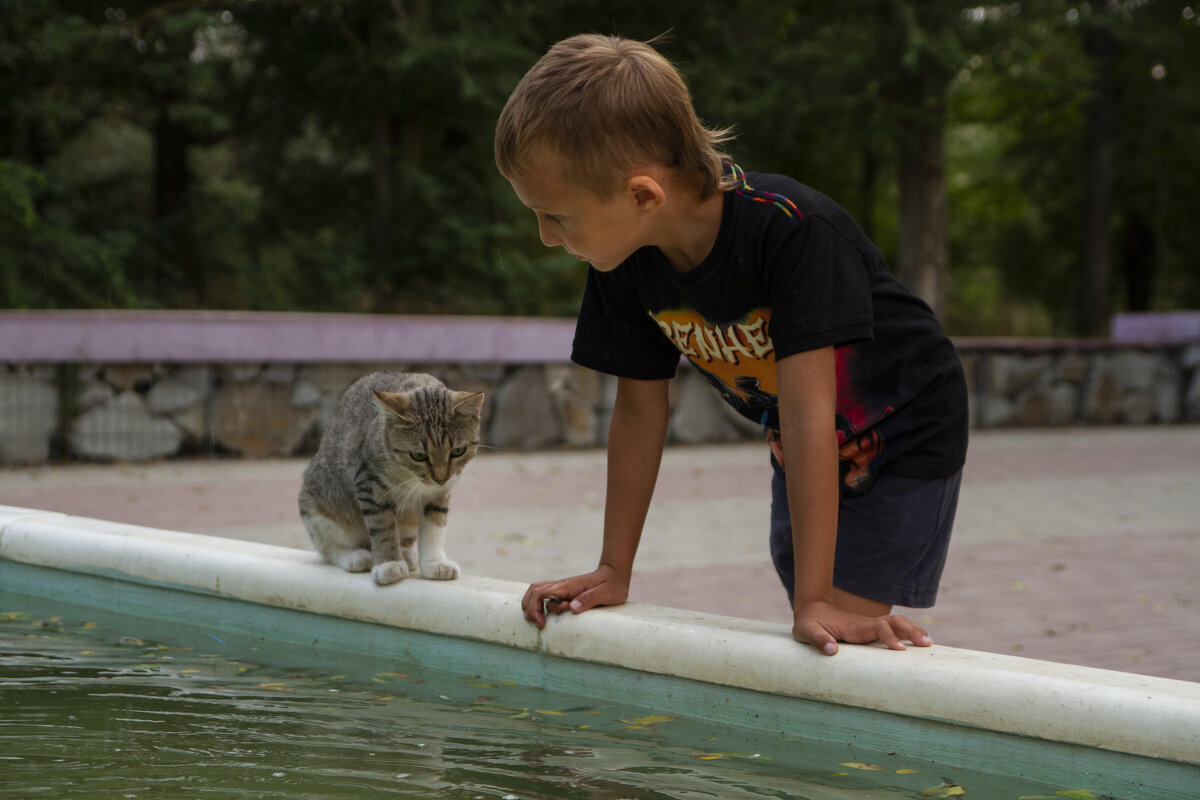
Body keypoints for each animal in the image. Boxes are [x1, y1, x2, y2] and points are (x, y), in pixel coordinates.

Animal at [298, 371, 482, 585]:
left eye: (458, 451)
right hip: (318, 509)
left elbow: (434, 526)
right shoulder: (369, 483)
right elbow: (382, 526)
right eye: (418, 455)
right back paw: (356, 556)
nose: (440, 478)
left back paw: (406, 553)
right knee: (328, 549)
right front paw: (388, 563)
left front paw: (435, 562)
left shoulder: (440, 493)